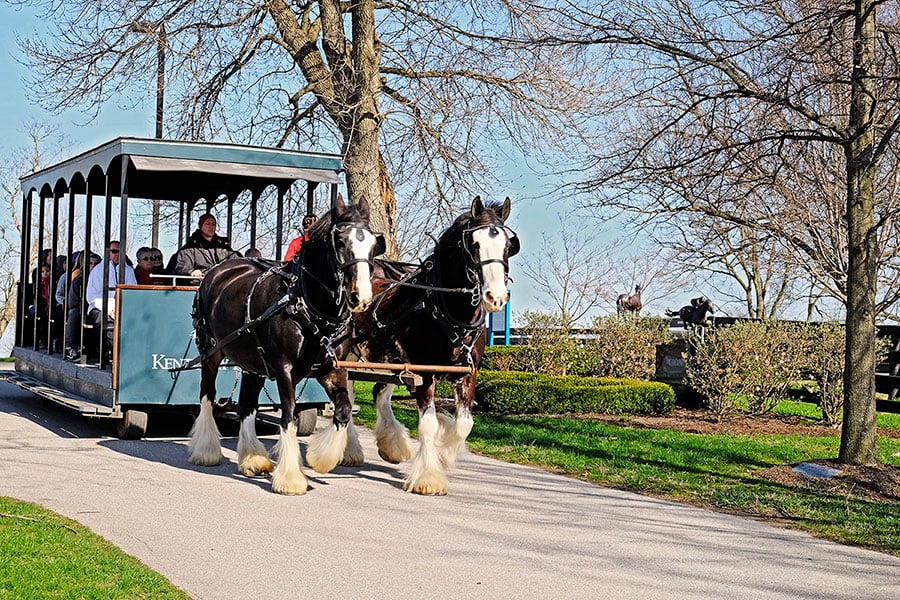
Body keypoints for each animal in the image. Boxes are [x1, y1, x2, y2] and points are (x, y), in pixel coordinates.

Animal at [187, 196, 385, 495]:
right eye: (340, 242)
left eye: (373, 243)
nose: (360, 297)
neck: (305, 302)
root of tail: (217, 270)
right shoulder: (284, 369)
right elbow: (289, 415)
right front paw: (291, 478)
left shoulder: (332, 369)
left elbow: (343, 411)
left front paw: (321, 459)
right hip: (210, 351)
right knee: (207, 395)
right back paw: (206, 450)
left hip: (252, 361)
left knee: (247, 404)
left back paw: (253, 459)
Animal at [308, 196, 519, 495]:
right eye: (474, 244)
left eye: (508, 246)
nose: (496, 297)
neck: (447, 311)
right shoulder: (424, 373)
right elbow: (428, 425)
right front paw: (428, 477)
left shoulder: (467, 374)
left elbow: (464, 424)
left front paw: (445, 452)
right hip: (350, 354)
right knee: (349, 392)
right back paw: (351, 451)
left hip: (388, 357)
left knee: (378, 392)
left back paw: (391, 444)